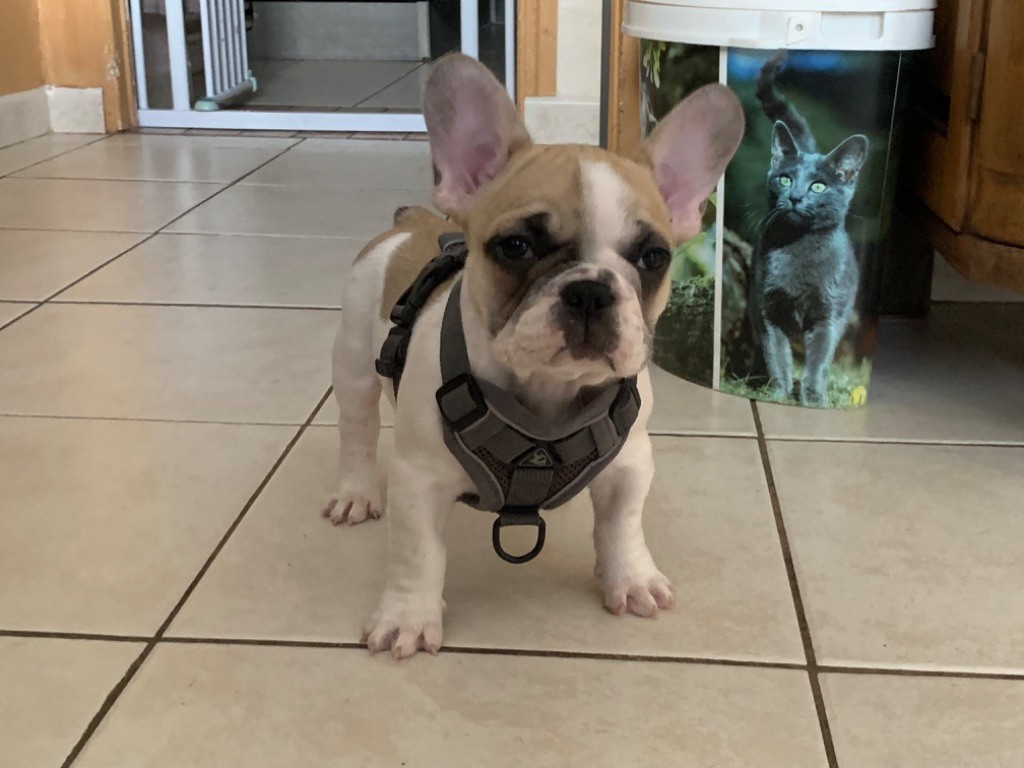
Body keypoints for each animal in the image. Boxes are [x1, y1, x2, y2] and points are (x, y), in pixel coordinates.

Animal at [322, 54, 744, 659]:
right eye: (516, 247)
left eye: (654, 257)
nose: (590, 290)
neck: (546, 393)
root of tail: (413, 222)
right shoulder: (418, 479)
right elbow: (419, 554)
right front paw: (407, 617)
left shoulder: (630, 465)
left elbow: (622, 526)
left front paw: (631, 579)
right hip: (355, 363)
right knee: (356, 430)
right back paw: (355, 494)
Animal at [745, 53, 869, 406]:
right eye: (785, 179)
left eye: (818, 186)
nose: (796, 196)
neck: (797, 248)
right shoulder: (766, 309)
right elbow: (777, 355)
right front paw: (778, 394)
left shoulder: (829, 313)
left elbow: (819, 359)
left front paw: (813, 400)